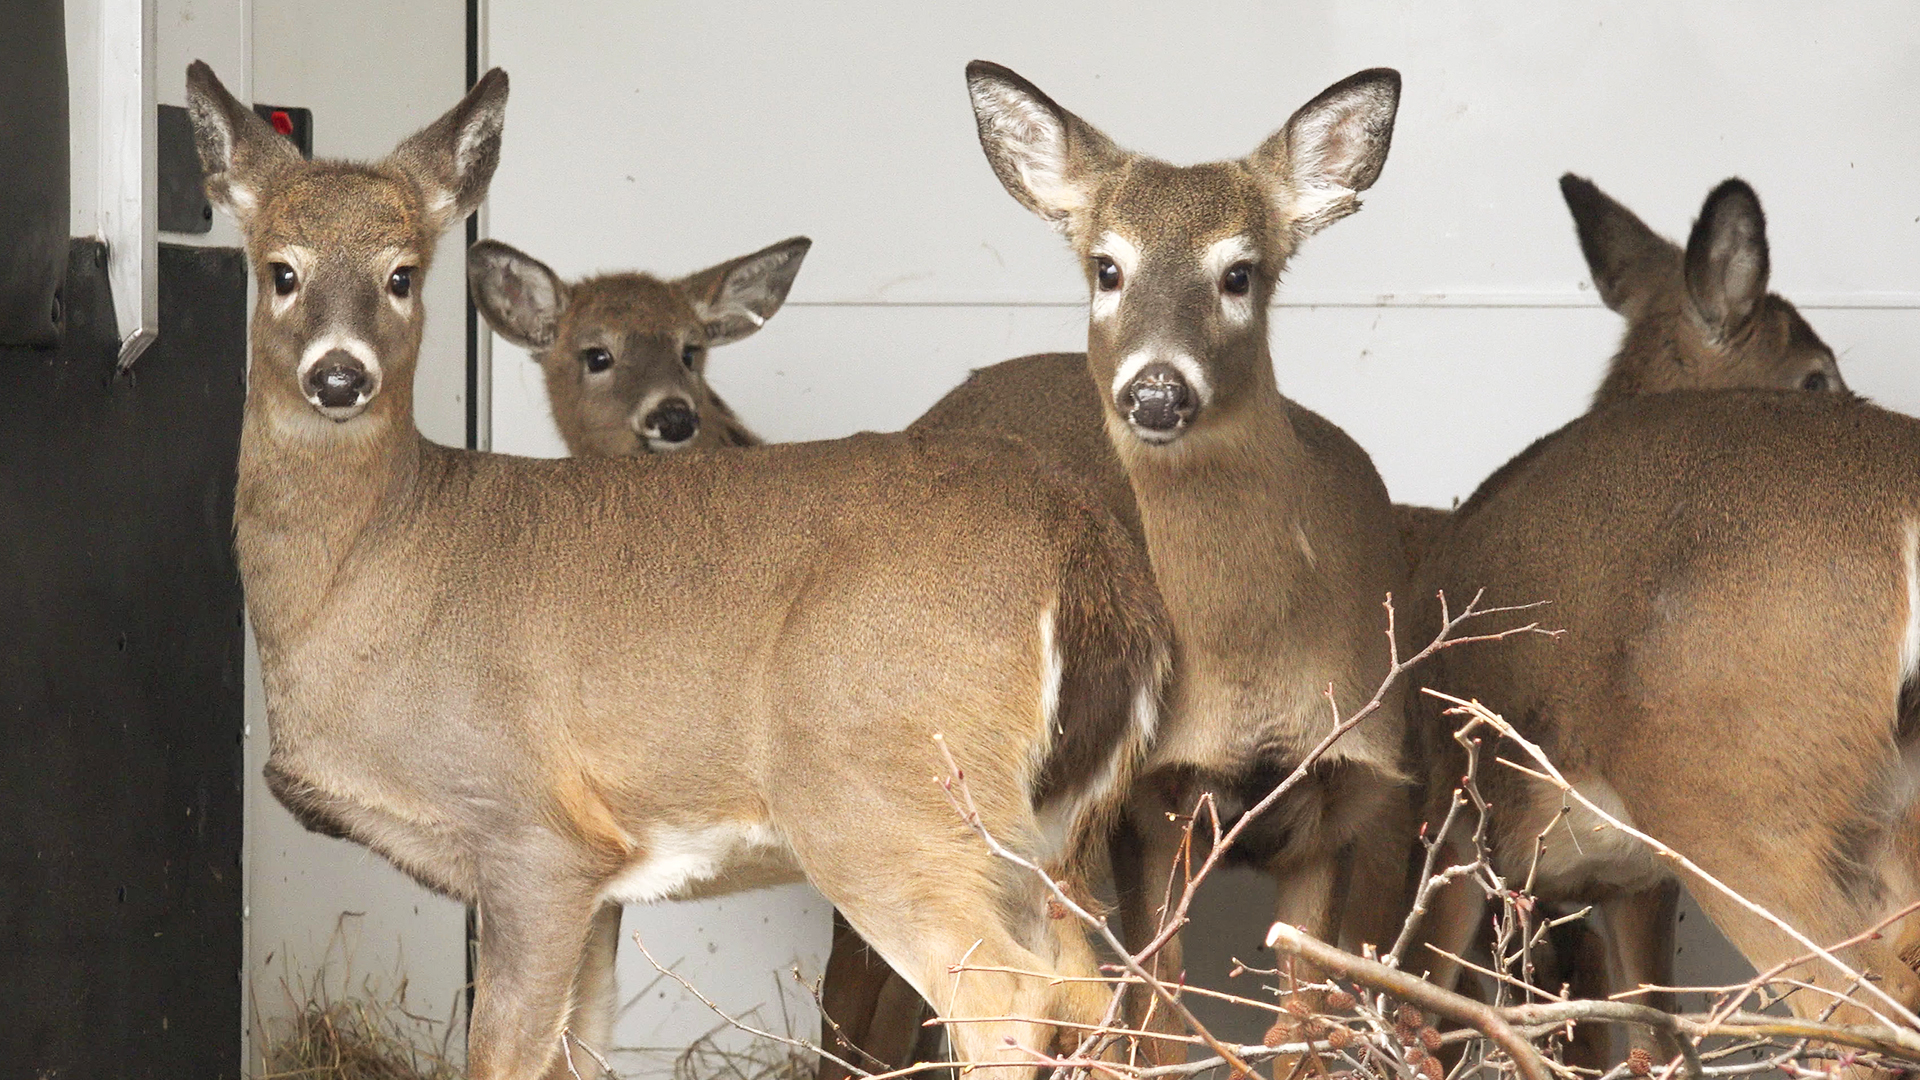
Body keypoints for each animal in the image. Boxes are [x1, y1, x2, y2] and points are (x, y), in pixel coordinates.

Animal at [894, 62, 1413, 1053]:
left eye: (1240, 273)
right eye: (1108, 268)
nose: (1158, 390)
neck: (1253, 673)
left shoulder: (1342, 795)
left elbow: (1300, 1020)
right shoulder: (1147, 801)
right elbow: (1158, 1009)